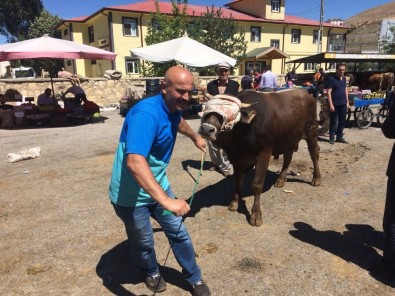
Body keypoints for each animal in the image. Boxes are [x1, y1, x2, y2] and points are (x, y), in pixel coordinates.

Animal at [200, 89, 324, 225]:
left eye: (232, 115)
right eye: (206, 110)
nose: (206, 129)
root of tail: (305, 92)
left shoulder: (264, 154)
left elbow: (257, 184)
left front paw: (256, 215)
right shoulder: (237, 159)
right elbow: (237, 181)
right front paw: (234, 203)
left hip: (311, 131)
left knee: (314, 154)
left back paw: (316, 179)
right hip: (289, 139)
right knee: (288, 158)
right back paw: (281, 179)